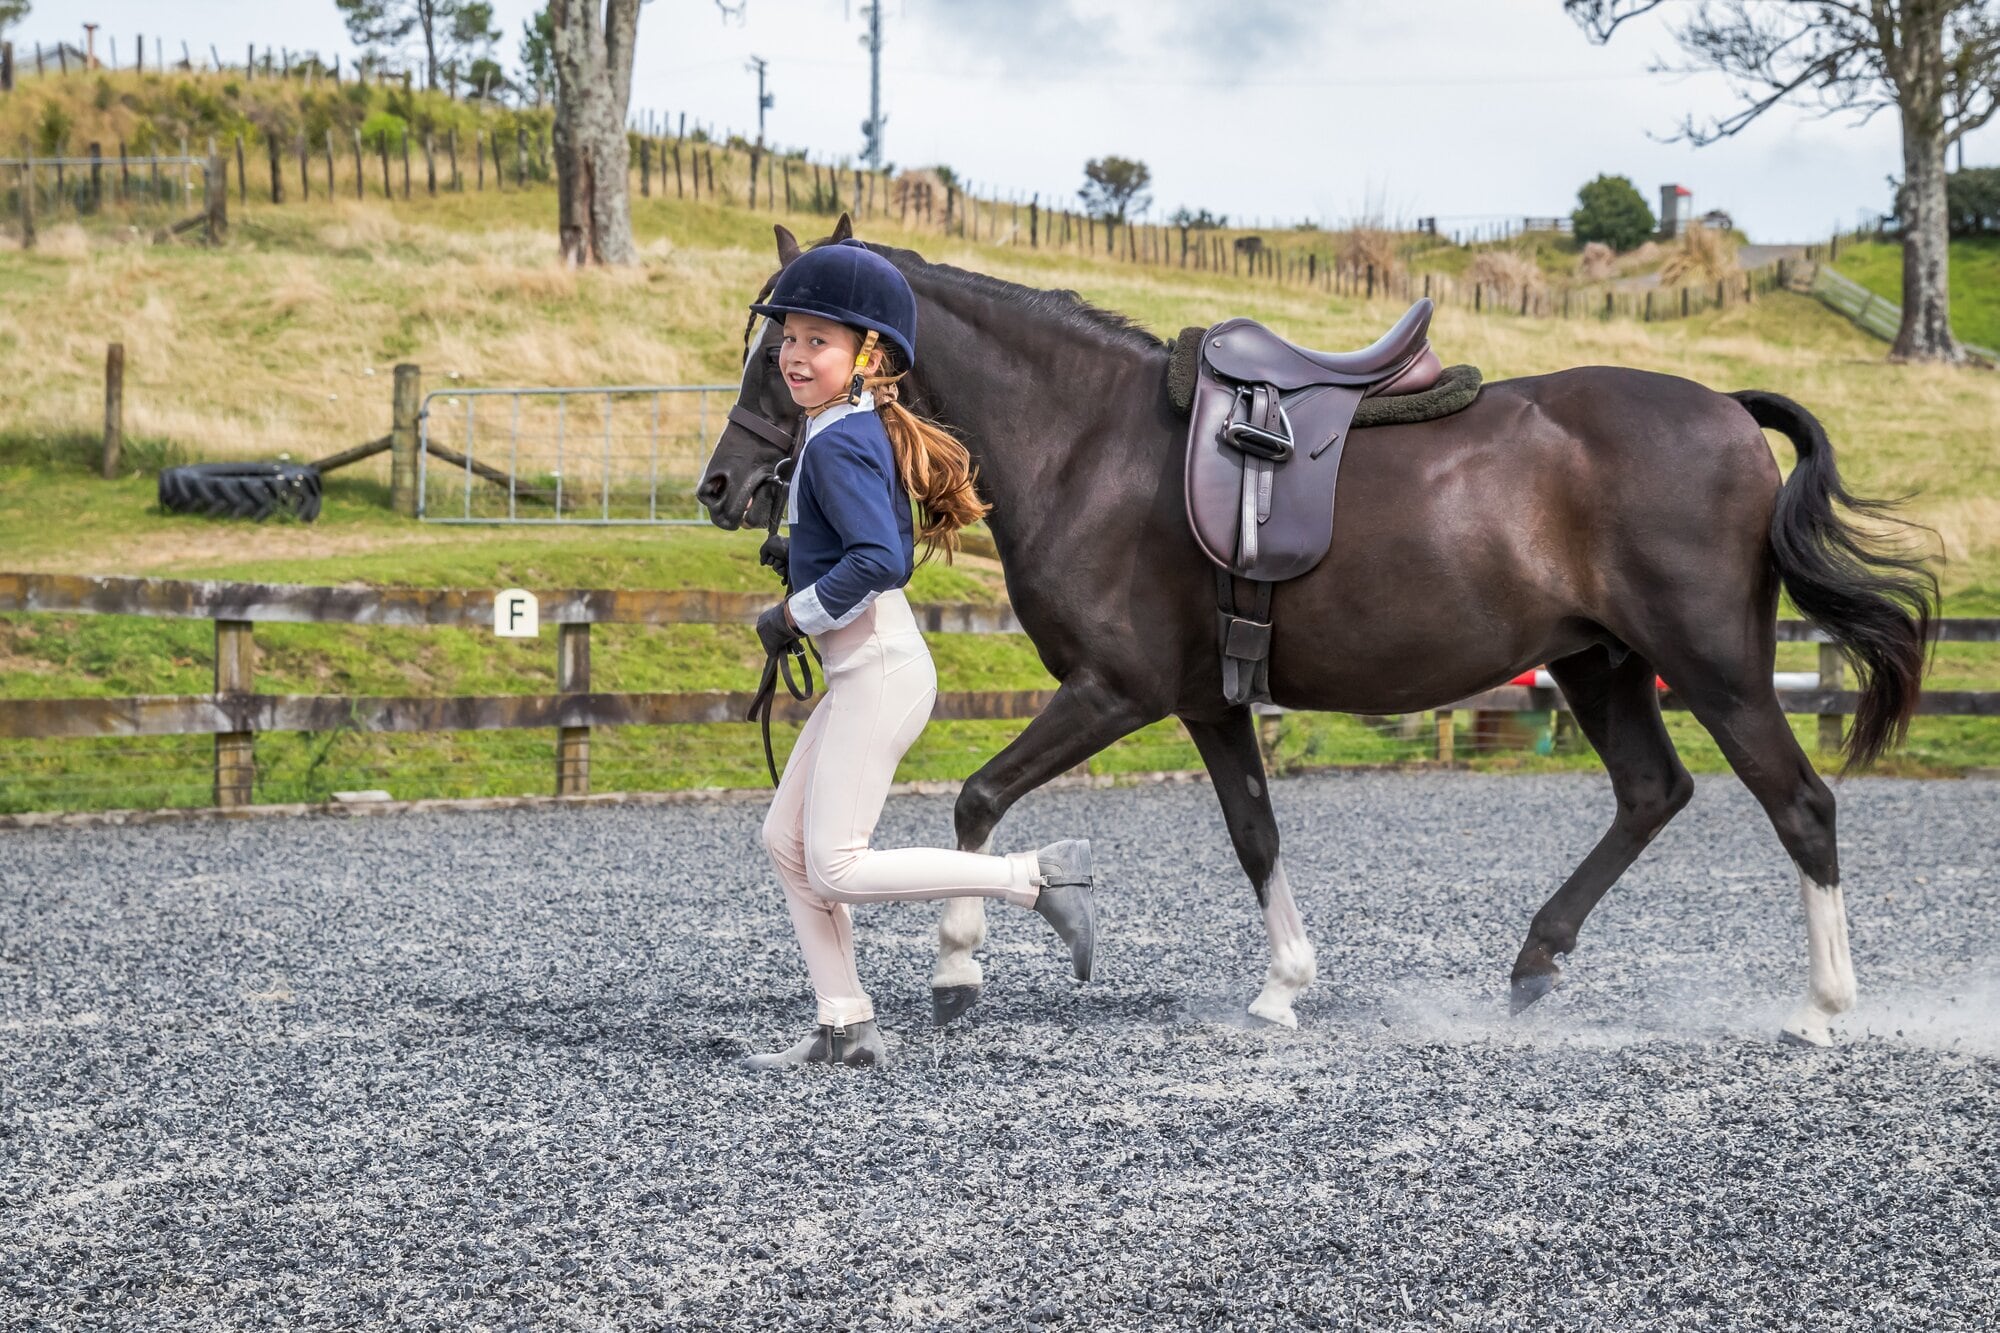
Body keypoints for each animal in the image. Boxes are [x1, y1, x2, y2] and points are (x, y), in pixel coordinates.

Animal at [697, 216, 1935, 1047]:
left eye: (788, 349)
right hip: (1597, 663)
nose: (721, 486)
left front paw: (958, 968)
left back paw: (1820, 1008)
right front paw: (1283, 984)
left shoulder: (1113, 689)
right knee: (1649, 792)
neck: (1085, 441)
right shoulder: (1205, 702)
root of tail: (1726, 409)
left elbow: (976, 797)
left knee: (1798, 804)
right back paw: (1534, 960)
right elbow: (1254, 833)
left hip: (1713, 667)